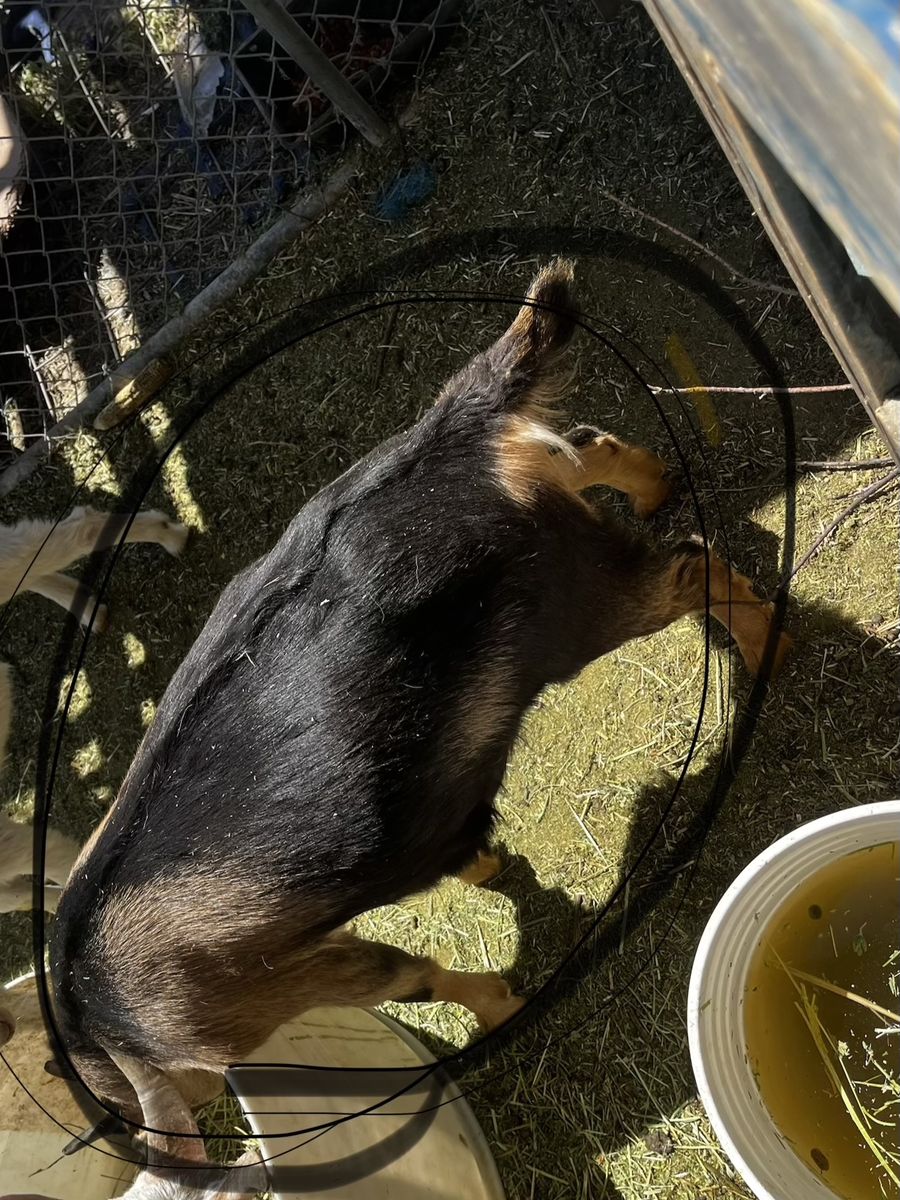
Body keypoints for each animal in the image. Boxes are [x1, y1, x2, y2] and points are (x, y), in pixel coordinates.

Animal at [36, 261, 789, 1200]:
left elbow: (413, 978)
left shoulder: (282, 985)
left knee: (689, 562)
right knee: (588, 444)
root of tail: (454, 432)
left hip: (576, 606)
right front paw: (490, 866)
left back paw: (771, 648)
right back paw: (661, 488)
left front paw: (505, 1008)